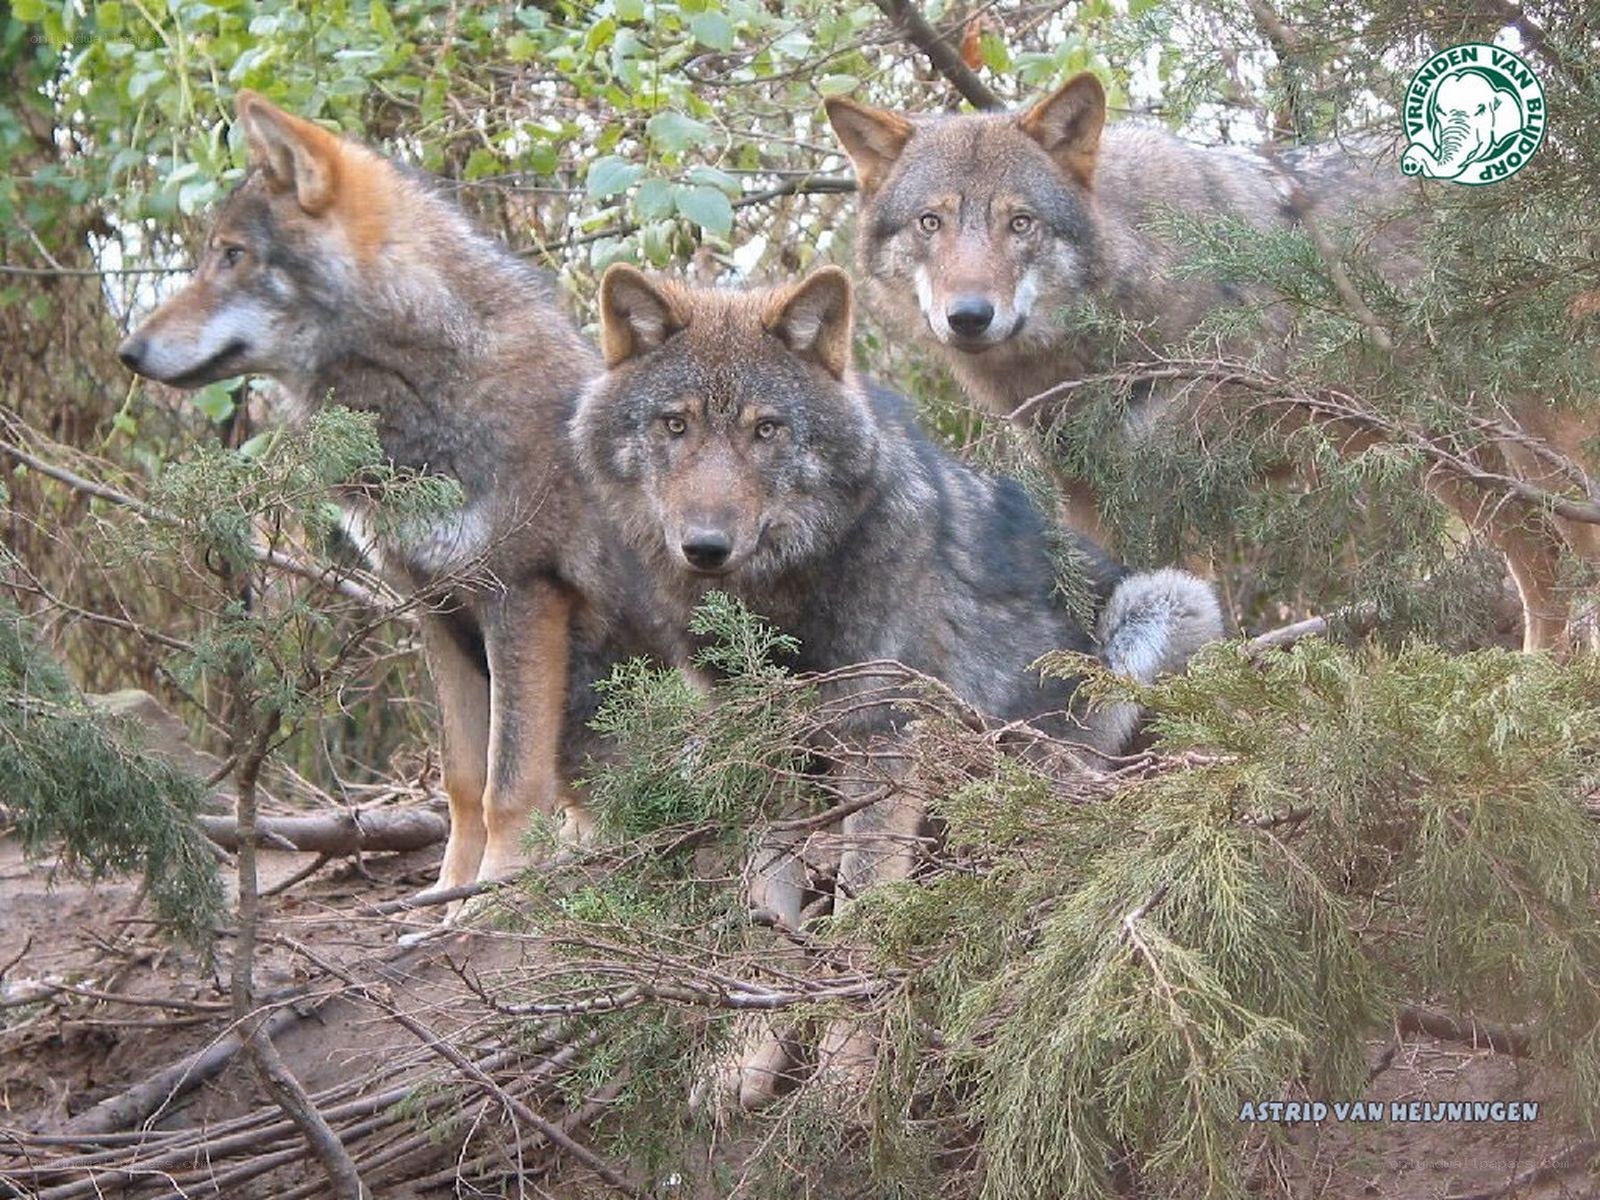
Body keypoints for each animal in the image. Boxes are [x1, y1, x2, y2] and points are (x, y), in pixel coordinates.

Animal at [117, 93, 676, 905]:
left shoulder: (521, 598)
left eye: (233, 256)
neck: (426, 397)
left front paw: (488, 898)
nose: (128, 352)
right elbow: (465, 782)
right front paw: (447, 890)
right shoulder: (433, 606)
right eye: (213, 254)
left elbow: (510, 784)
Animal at [571, 263, 1223, 1106]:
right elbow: (765, 919)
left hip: (1163, 607)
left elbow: (862, 913)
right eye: (675, 425)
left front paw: (846, 1067)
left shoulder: (884, 745)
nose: (706, 547)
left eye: (765, 430)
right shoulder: (762, 759)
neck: (783, 612)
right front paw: (750, 1053)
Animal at [826, 74, 1594, 652]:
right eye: (931, 222)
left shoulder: (1174, 497)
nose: (969, 316)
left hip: (1534, 460)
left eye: (1021, 224)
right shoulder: (1086, 500)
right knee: (1545, 575)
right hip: (1468, 473)